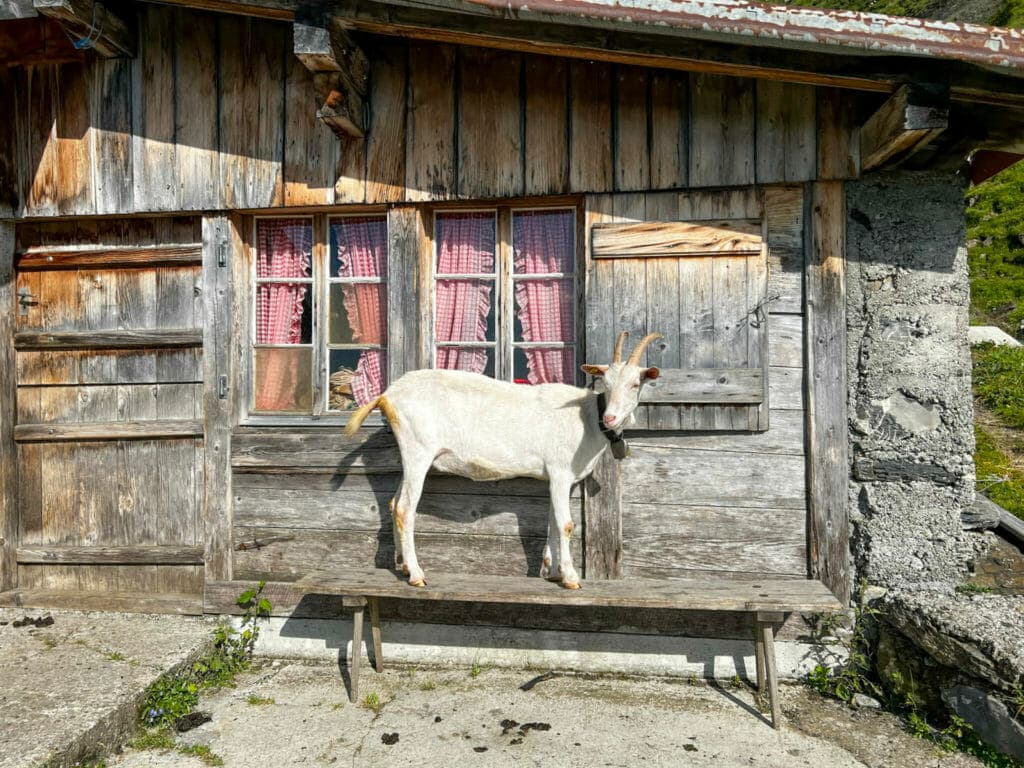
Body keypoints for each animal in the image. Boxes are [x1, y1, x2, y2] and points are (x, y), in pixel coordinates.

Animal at [343, 331, 662, 589]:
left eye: (635, 384)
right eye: (605, 383)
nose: (610, 417)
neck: (586, 416)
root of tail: (388, 395)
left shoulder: (557, 478)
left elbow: (552, 521)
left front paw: (553, 571)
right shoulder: (560, 471)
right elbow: (566, 524)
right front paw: (571, 578)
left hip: (410, 456)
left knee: (394, 503)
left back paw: (402, 565)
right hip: (418, 450)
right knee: (405, 508)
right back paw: (417, 574)